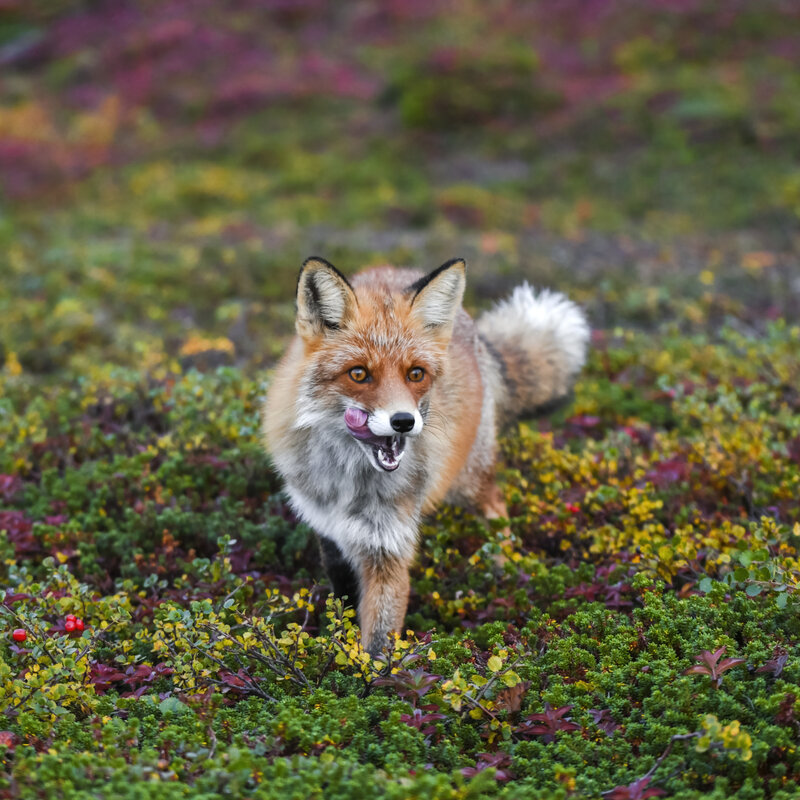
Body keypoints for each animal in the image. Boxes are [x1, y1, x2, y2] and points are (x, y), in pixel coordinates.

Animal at [262, 257, 589, 655]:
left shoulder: (388, 547)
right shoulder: (330, 534)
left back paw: (502, 570)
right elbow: (345, 609)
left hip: (468, 479)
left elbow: (378, 643)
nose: (403, 421)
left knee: (496, 506)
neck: (348, 482)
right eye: (359, 374)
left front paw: (369, 671)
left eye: (415, 374)